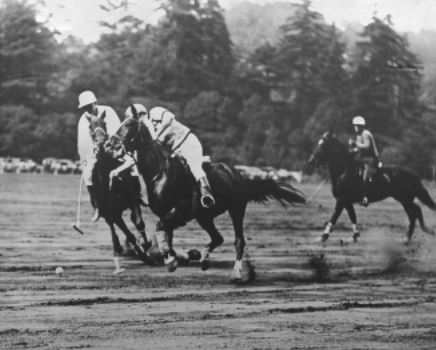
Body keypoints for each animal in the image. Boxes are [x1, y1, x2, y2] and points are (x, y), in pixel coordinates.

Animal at [86, 112, 152, 262]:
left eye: (104, 124)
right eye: (90, 126)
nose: (100, 143)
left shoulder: (133, 201)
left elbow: (138, 222)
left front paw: (145, 245)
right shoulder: (112, 211)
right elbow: (126, 232)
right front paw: (140, 251)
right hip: (106, 212)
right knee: (112, 226)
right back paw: (118, 247)